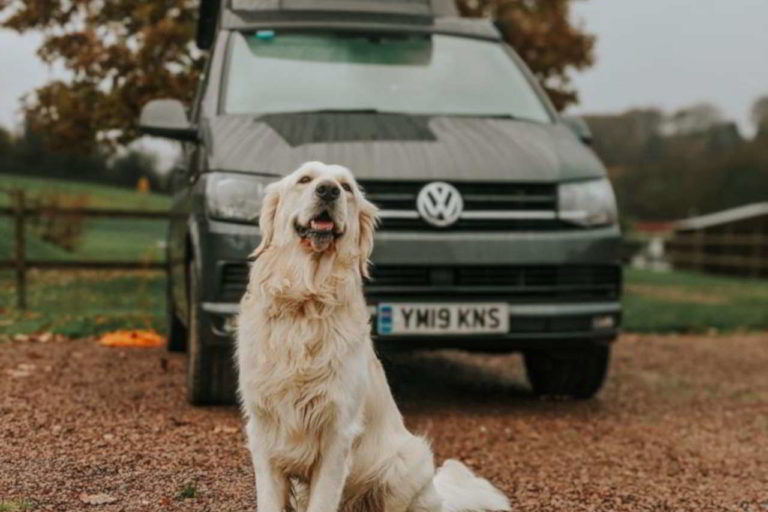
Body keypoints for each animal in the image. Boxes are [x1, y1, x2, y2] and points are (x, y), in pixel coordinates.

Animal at [237, 161, 508, 512]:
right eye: (305, 179)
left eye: (346, 187)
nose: (328, 190)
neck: (307, 301)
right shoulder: (264, 430)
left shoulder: (337, 435)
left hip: (406, 465)